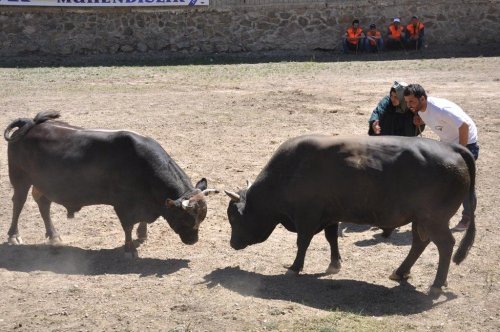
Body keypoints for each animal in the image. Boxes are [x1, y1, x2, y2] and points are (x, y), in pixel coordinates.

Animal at [3, 112, 219, 256]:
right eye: (185, 219)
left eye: (201, 218)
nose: (193, 240)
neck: (139, 163)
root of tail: (29, 124)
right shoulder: (123, 205)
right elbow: (127, 226)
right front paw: (129, 248)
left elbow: (140, 222)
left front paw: (142, 234)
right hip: (20, 178)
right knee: (18, 203)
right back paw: (14, 235)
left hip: (43, 183)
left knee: (43, 204)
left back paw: (53, 236)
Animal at [225, 134, 474, 294]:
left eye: (234, 218)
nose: (232, 244)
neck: (289, 171)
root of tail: (452, 148)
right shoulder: (330, 215)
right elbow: (331, 238)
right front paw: (334, 264)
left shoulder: (306, 217)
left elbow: (302, 242)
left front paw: (295, 267)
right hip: (420, 220)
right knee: (419, 243)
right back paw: (400, 272)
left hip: (434, 220)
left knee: (445, 245)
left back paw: (436, 284)